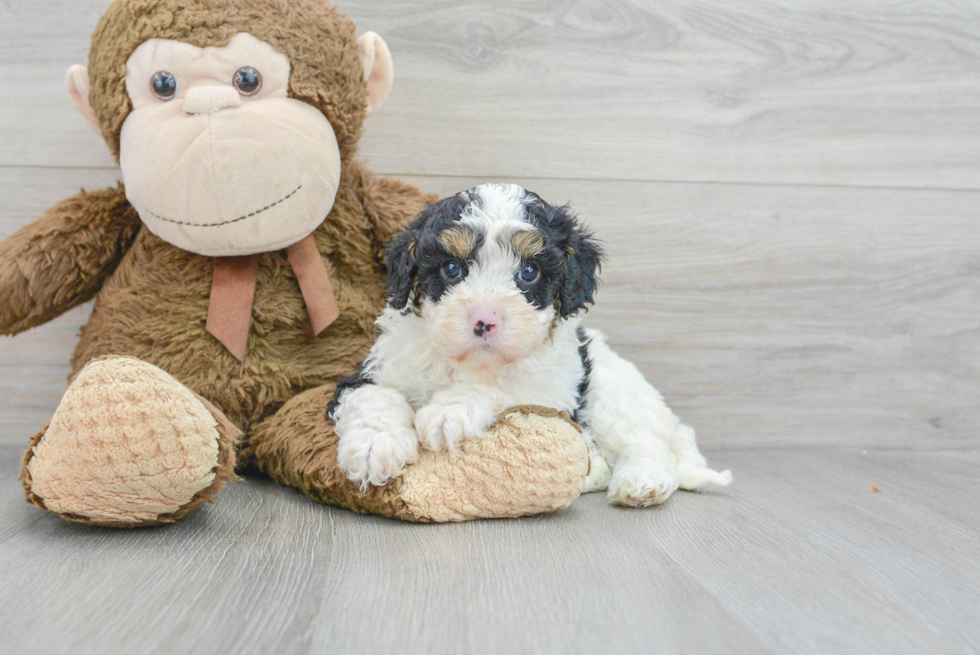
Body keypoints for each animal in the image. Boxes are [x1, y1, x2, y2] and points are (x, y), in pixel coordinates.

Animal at [328, 184, 728, 508]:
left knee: (647, 444)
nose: (484, 320)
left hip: (613, 394)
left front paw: (449, 411)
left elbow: (503, 387)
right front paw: (374, 445)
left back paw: (641, 482)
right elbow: (374, 395)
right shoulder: (371, 371)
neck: (468, 363)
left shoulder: (550, 388)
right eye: (452, 269)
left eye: (529, 272)